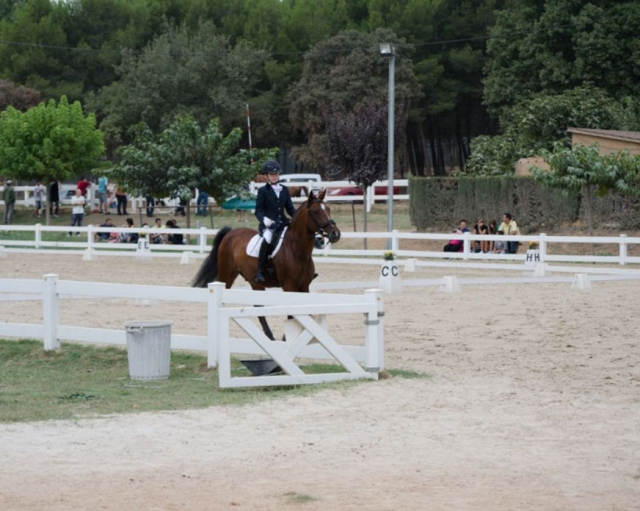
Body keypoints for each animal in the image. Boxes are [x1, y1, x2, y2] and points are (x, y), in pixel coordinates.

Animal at [191, 189, 341, 339]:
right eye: (315, 211)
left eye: (328, 209)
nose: (335, 234)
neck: (296, 250)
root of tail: (230, 233)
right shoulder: (289, 286)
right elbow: (292, 314)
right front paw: (288, 337)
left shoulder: (304, 286)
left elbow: (305, 314)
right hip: (226, 275)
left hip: (255, 282)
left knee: (258, 307)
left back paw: (269, 335)